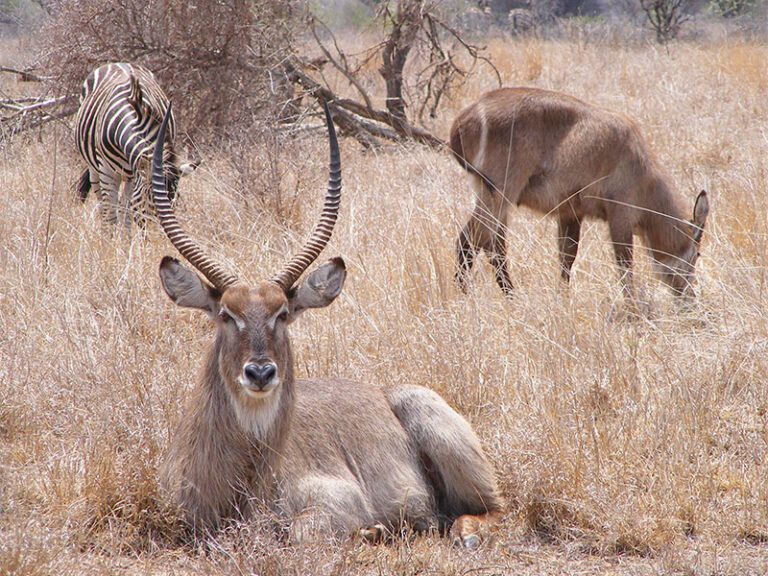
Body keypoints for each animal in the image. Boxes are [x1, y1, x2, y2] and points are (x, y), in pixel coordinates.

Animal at [154, 104, 503, 547]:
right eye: (226, 315)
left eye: (282, 313)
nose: (260, 373)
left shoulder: (337, 499)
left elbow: (300, 533)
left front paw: (373, 529)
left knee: (493, 509)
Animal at [450, 87, 710, 307]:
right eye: (697, 254)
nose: (690, 300)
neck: (643, 172)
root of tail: (461, 120)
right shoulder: (620, 216)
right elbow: (625, 267)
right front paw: (632, 309)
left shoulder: (570, 213)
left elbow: (567, 259)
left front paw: (563, 301)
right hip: (499, 194)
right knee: (468, 242)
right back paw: (466, 298)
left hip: (494, 198)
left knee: (493, 246)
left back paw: (510, 297)